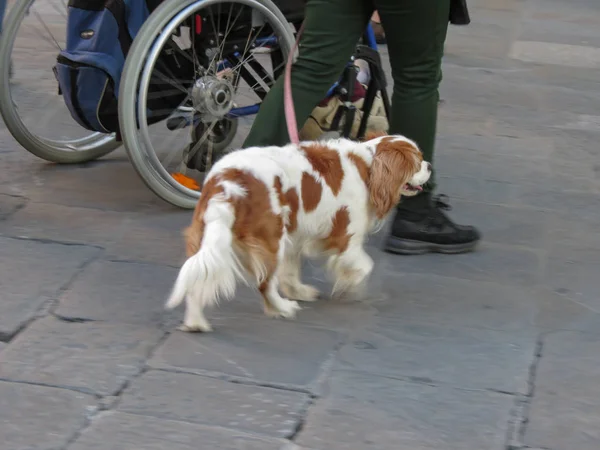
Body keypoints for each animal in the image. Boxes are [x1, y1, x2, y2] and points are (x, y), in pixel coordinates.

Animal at [165, 132, 432, 332]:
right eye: (418, 160)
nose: (429, 165)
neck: (368, 165)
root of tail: (227, 182)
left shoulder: (297, 235)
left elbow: (291, 271)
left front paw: (299, 291)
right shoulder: (347, 238)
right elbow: (364, 265)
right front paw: (349, 286)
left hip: (208, 235)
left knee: (197, 275)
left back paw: (195, 322)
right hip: (271, 236)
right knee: (264, 283)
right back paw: (282, 309)